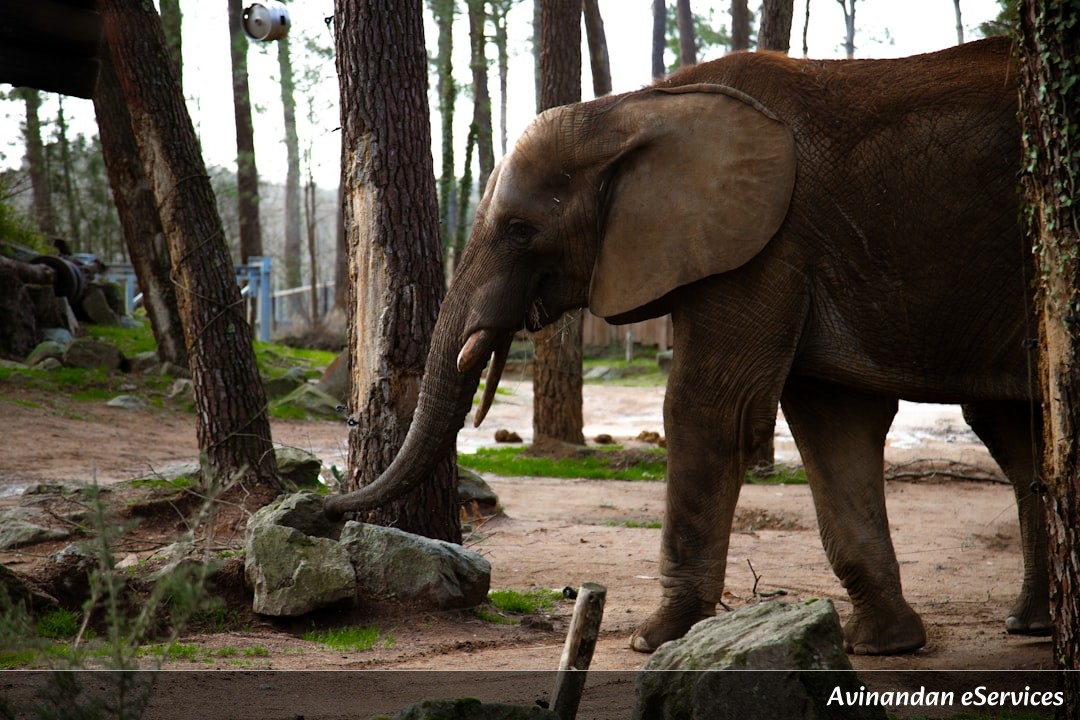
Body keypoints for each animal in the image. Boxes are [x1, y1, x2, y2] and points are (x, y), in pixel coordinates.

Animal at [325, 35, 1048, 656]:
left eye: (522, 231)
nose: (329, 507)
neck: (637, 106)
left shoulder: (762, 244)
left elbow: (707, 409)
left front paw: (656, 639)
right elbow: (833, 423)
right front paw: (884, 646)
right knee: (1013, 433)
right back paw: (1029, 625)